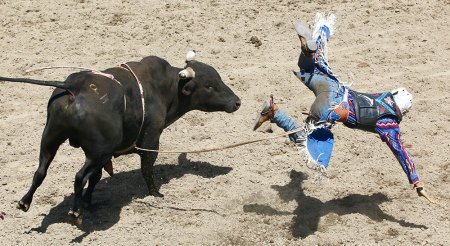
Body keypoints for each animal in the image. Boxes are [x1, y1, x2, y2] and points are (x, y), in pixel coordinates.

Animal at [0, 52, 241, 221]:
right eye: (209, 85)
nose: (237, 102)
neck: (166, 88)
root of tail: (74, 87)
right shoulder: (150, 140)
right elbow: (147, 168)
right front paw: (155, 193)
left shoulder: (105, 156)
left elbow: (96, 178)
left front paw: (89, 202)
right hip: (97, 151)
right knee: (79, 177)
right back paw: (75, 213)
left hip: (51, 139)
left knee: (41, 171)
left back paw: (25, 202)